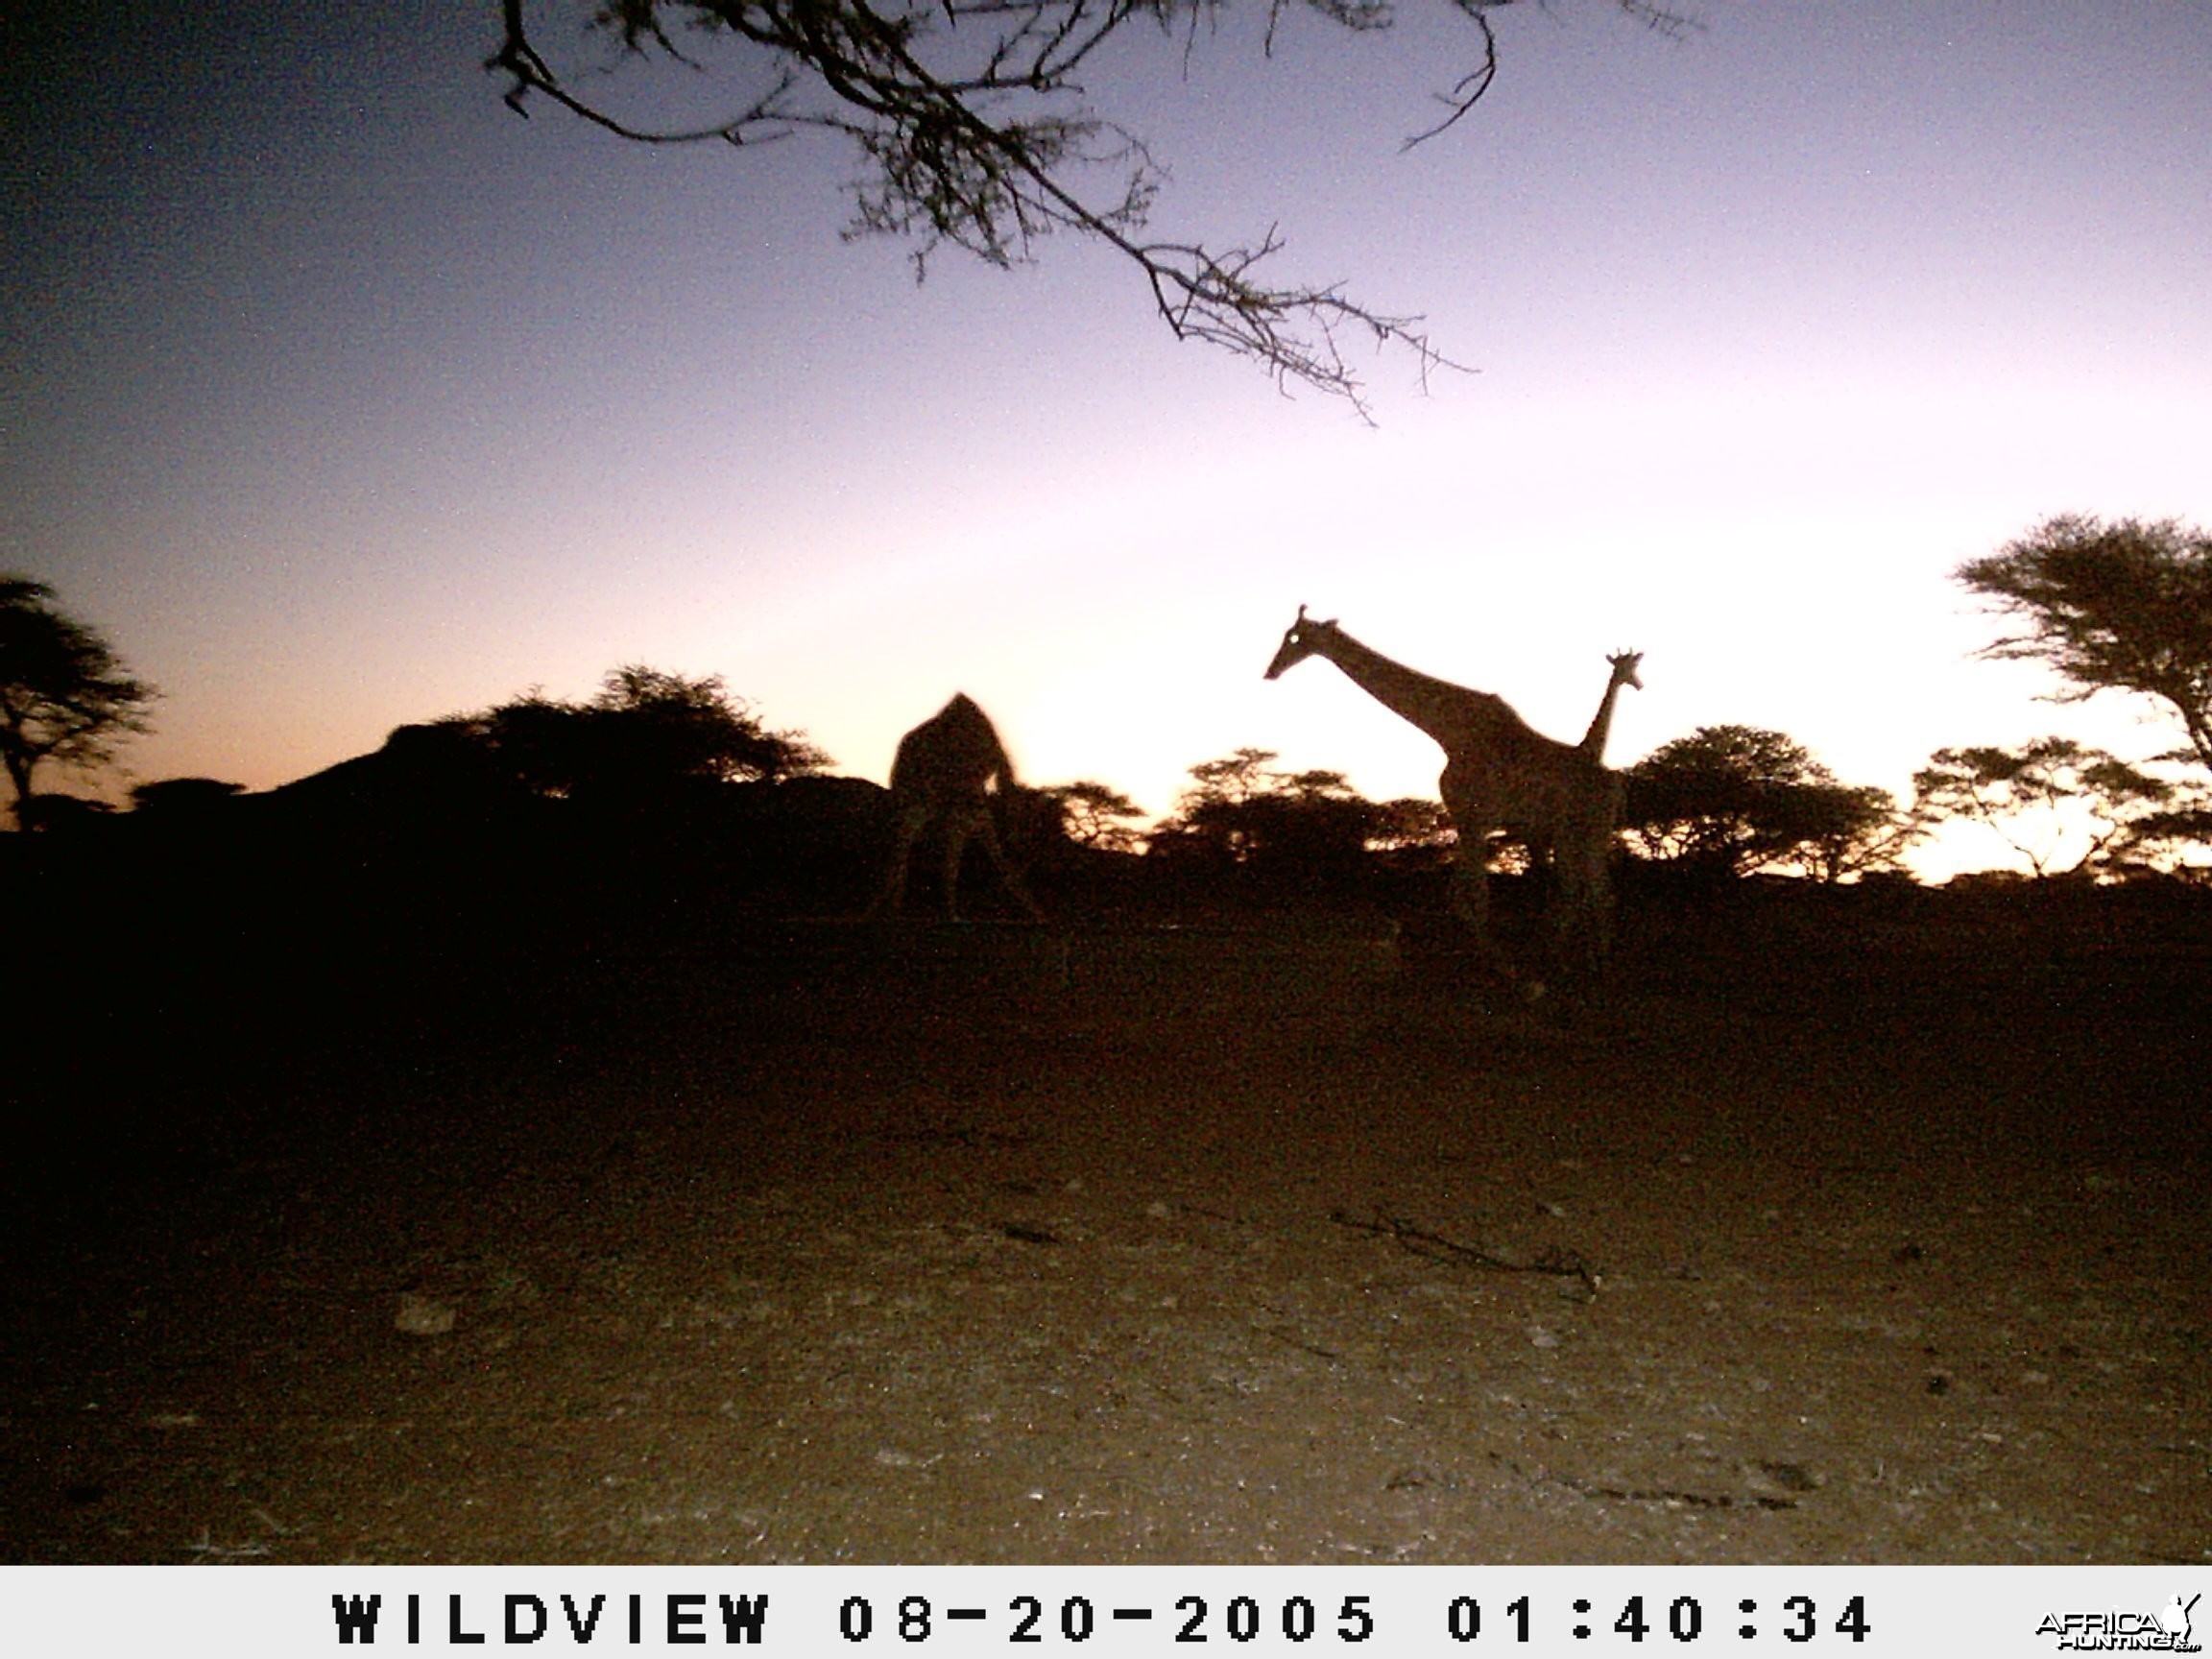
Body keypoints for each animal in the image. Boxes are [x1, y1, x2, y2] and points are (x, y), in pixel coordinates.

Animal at [862, 689, 1044, 925]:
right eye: (1031, 829)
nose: (1028, 854)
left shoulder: (964, 804)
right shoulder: (966, 803)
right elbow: (968, 859)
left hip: (917, 802)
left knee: (901, 848)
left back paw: (889, 910)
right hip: (921, 802)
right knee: (902, 848)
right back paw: (885, 911)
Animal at [1264, 606, 1627, 973]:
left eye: (1295, 637)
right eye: (1286, 635)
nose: (1271, 671)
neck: (1449, 733)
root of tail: (1613, 782)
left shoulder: (1475, 820)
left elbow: (1476, 898)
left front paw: (1503, 967)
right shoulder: (1465, 821)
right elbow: (1458, 898)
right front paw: (1489, 961)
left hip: (1586, 830)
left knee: (1594, 892)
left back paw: (1586, 962)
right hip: (1577, 834)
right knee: (1590, 890)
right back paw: (1584, 960)